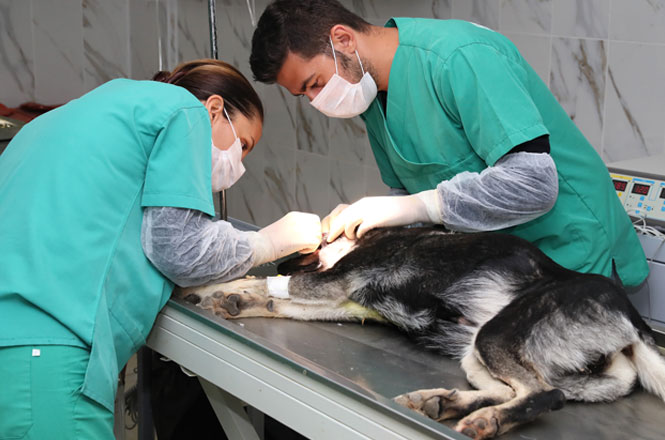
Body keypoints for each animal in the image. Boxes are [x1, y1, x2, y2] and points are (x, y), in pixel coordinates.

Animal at [175, 225, 664, 438]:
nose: (286, 255)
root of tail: (635, 324)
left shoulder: (335, 282)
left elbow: (269, 283)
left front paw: (209, 288)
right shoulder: (342, 301)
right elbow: (271, 297)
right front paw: (227, 298)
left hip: (496, 334)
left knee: (545, 395)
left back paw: (483, 419)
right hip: (478, 351)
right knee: (512, 390)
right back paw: (443, 403)